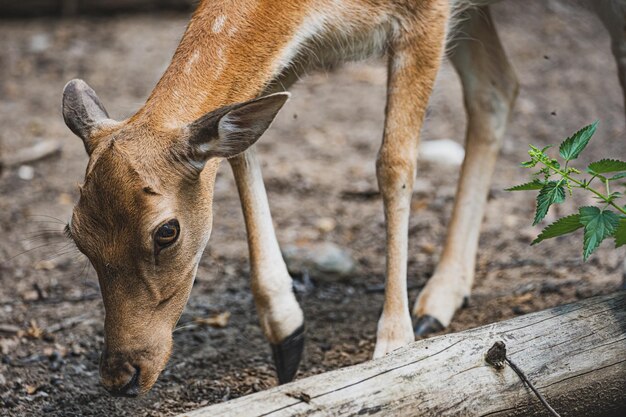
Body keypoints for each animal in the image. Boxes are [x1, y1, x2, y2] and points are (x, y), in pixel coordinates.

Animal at [59, 0, 624, 396]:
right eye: (76, 233)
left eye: (166, 231)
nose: (121, 377)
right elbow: (242, 149)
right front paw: (287, 334)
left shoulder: (426, 16)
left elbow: (393, 161)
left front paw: (393, 346)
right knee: (496, 88)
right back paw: (440, 298)